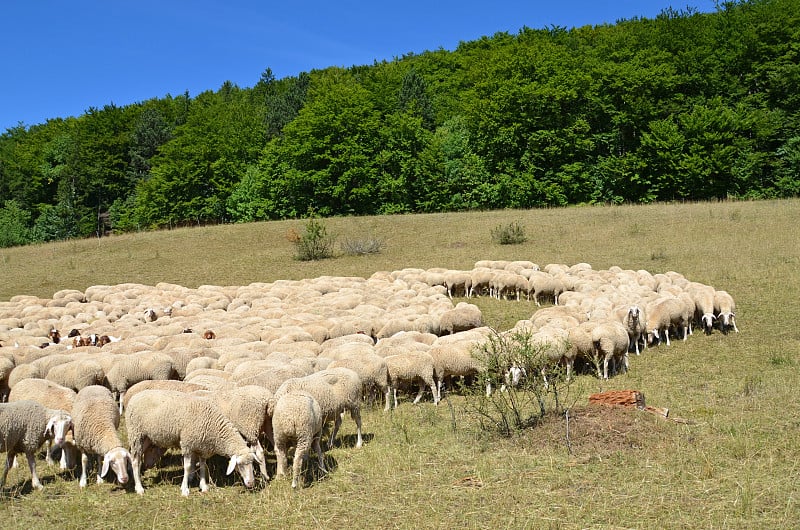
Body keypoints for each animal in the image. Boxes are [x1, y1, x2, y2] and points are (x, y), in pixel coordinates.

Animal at [124, 388, 260, 496]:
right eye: (240, 465)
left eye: (252, 463)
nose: (251, 483)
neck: (213, 426)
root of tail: (135, 396)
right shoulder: (187, 444)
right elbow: (188, 467)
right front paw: (185, 489)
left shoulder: (202, 446)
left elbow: (203, 465)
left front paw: (204, 486)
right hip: (136, 434)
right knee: (135, 461)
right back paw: (139, 488)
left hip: (146, 438)